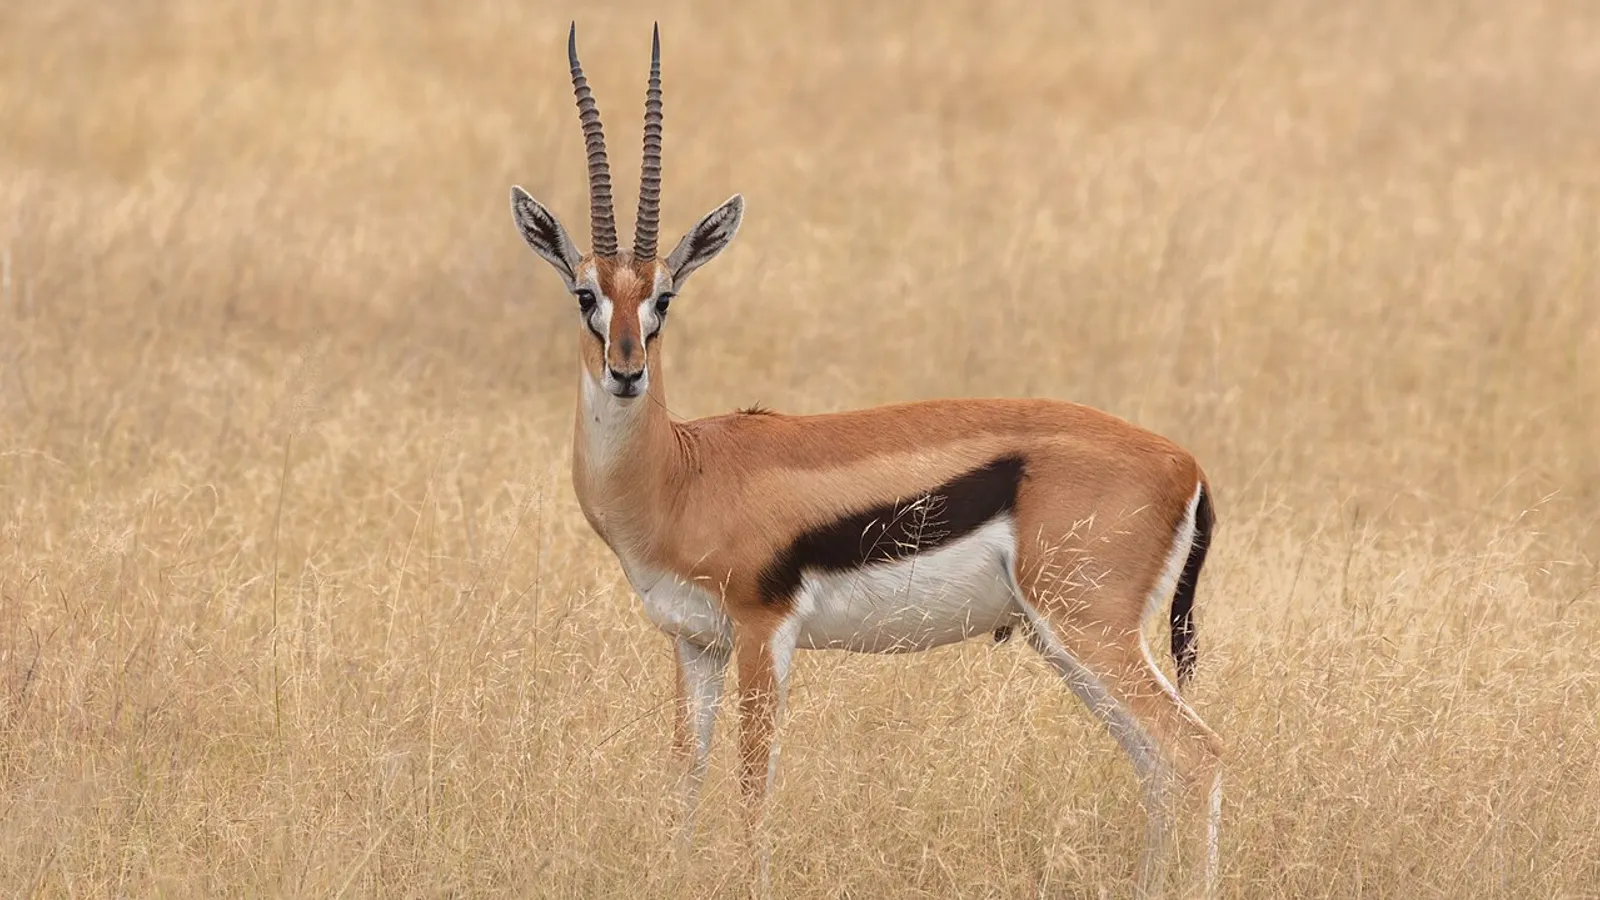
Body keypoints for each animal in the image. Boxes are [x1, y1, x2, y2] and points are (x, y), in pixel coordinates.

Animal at [508, 23, 1225, 898]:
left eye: (664, 297)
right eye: (585, 294)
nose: (626, 368)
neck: (681, 473)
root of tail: (1186, 465)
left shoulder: (763, 633)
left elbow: (752, 786)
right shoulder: (694, 643)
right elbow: (683, 779)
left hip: (1089, 631)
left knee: (1196, 754)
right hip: (1070, 644)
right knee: (1157, 765)